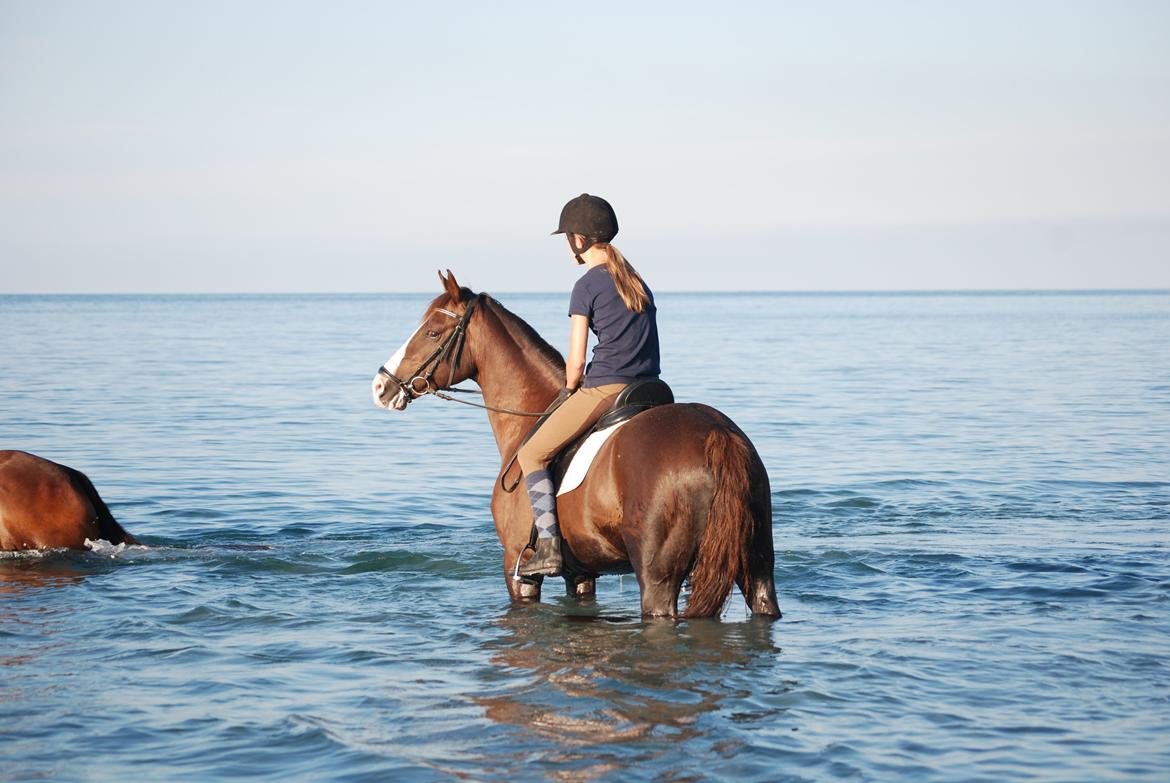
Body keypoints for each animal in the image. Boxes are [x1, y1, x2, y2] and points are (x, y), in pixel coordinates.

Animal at [369, 271, 781, 617]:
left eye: (433, 333)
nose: (381, 385)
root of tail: (716, 433)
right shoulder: (581, 573)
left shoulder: (517, 572)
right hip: (758, 566)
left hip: (658, 579)